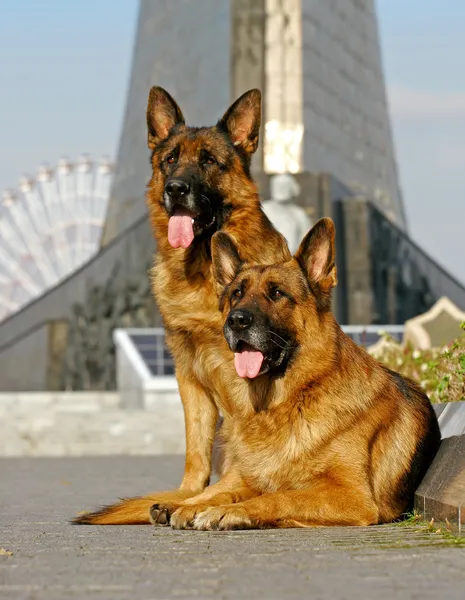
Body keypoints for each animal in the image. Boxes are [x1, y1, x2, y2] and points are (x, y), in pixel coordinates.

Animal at [73, 86, 290, 524]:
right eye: (170, 159)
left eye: (208, 161)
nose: (175, 188)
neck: (203, 270)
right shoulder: (188, 375)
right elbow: (195, 450)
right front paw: (189, 495)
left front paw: (207, 501)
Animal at [143, 217, 440, 528]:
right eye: (237, 294)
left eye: (277, 293)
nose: (236, 320)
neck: (287, 401)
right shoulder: (251, 479)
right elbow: (232, 493)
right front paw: (194, 507)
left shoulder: (351, 496)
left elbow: (280, 497)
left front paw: (231, 512)